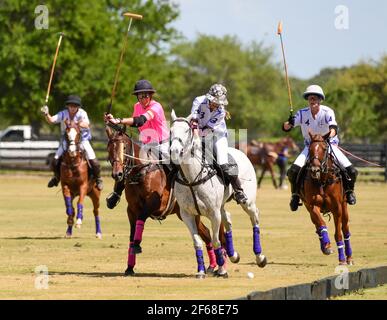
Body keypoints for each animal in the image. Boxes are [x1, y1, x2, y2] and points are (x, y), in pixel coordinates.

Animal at [106, 124, 226, 276]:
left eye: (124, 147)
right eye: (109, 148)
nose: (117, 174)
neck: (141, 174)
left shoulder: (154, 205)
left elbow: (141, 219)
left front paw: (137, 246)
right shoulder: (131, 210)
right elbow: (132, 236)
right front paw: (129, 267)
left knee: (212, 234)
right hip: (188, 213)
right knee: (206, 234)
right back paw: (211, 266)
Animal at [171, 111, 268, 278]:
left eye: (187, 130)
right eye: (170, 131)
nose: (174, 151)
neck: (191, 179)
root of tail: (241, 152)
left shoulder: (213, 214)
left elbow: (216, 240)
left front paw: (222, 269)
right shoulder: (186, 214)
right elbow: (197, 242)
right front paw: (201, 271)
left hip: (247, 202)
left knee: (254, 216)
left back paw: (260, 257)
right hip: (221, 205)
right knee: (227, 218)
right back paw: (234, 255)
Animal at [300, 132, 354, 264]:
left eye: (324, 149)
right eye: (310, 149)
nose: (315, 170)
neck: (323, 181)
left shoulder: (337, 208)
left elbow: (338, 234)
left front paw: (342, 260)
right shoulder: (312, 206)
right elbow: (321, 224)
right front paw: (327, 246)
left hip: (344, 206)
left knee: (345, 229)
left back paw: (349, 258)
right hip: (307, 207)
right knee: (316, 225)